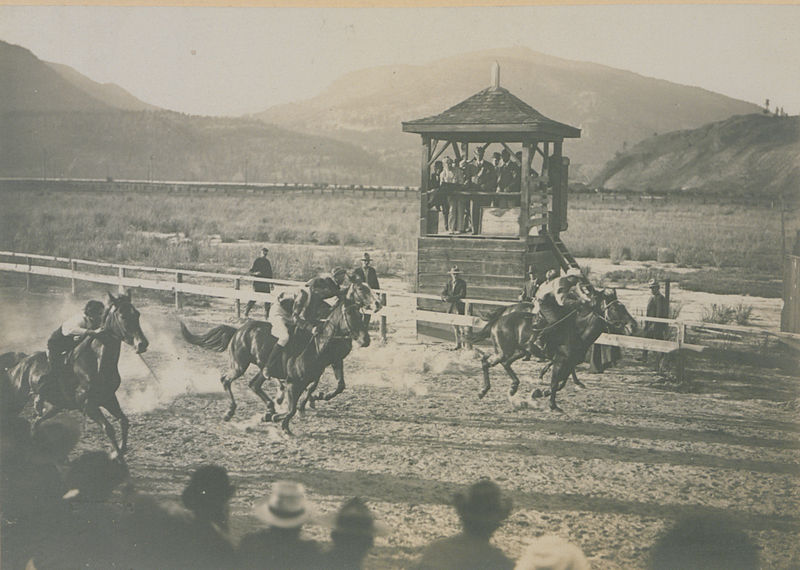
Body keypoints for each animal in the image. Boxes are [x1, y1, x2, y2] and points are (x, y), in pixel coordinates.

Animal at [4, 292, 148, 452]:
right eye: (123, 316)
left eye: (137, 314)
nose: (142, 344)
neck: (97, 362)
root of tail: (20, 363)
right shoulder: (87, 404)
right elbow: (108, 428)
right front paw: (116, 455)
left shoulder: (109, 398)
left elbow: (124, 421)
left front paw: (121, 450)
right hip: (17, 399)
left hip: (56, 406)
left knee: (35, 422)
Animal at [181, 280, 382, 430]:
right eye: (362, 289)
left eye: (361, 314)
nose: (366, 340)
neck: (318, 344)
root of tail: (238, 330)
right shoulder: (300, 379)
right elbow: (297, 402)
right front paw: (294, 410)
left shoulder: (330, 364)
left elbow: (335, 386)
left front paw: (301, 405)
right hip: (239, 365)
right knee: (226, 380)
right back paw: (231, 412)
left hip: (261, 367)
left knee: (254, 384)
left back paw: (270, 408)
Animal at [472, 288, 636, 408]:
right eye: (615, 308)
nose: (633, 325)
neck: (577, 331)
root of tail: (498, 320)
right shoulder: (560, 361)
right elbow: (556, 381)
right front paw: (552, 404)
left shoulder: (569, 363)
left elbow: (562, 382)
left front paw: (541, 393)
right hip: (504, 351)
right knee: (487, 362)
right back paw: (484, 390)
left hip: (519, 351)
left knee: (503, 363)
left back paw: (511, 387)